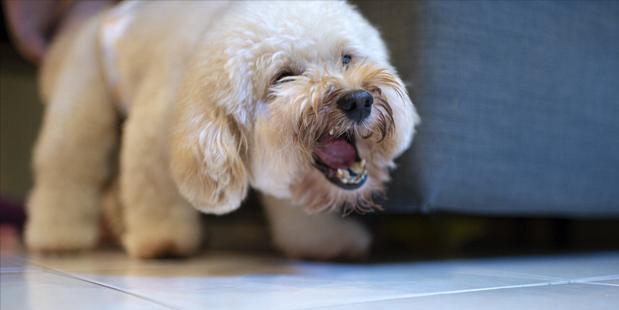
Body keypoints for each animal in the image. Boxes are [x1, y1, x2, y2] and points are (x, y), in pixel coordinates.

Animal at [25, 1, 422, 260]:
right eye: (284, 76)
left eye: (346, 58)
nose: (358, 100)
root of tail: (91, 21)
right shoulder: (152, 136)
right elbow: (154, 191)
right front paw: (163, 242)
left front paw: (326, 241)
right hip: (82, 105)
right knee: (68, 170)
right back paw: (57, 237)